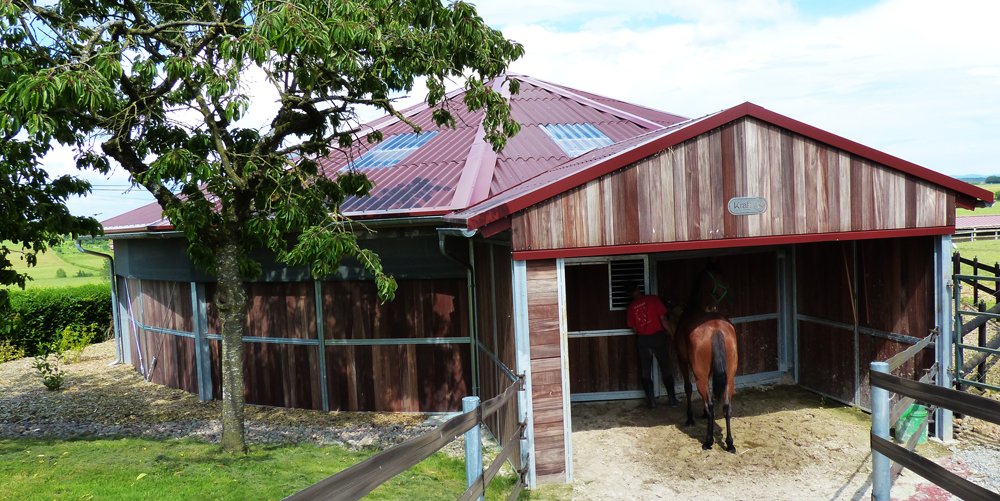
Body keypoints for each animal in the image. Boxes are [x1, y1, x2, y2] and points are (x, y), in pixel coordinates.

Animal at [673, 262, 739, 453]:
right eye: (722, 278)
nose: (731, 299)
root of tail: (716, 329)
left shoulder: (682, 360)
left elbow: (688, 388)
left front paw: (690, 418)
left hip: (699, 376)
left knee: (711, 404)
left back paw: (708, 441)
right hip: (730, 377)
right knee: (726, 406)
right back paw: (730, 443)